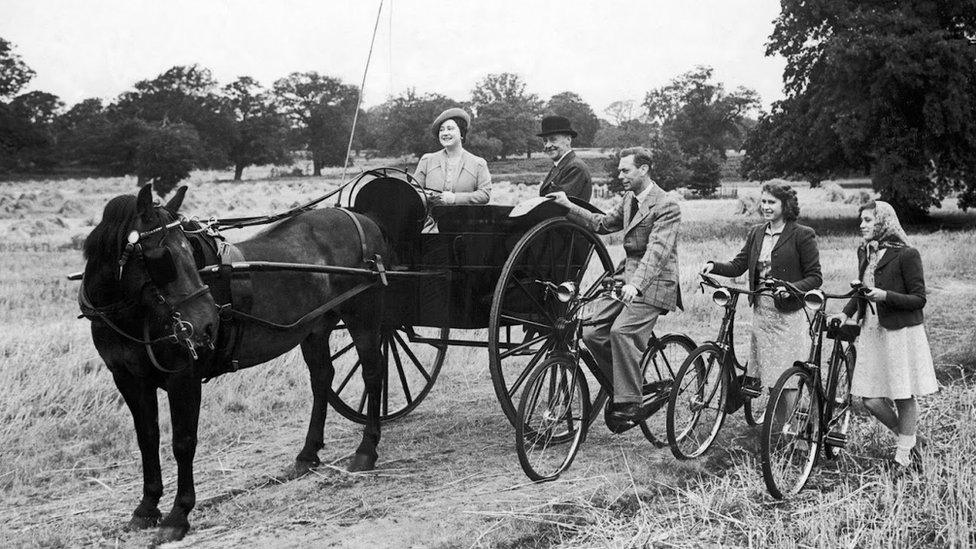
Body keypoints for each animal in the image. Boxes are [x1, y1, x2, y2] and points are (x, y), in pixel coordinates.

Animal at [80, 183, 386, 540]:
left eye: (188, 250)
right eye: (162, 258)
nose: (206, 324)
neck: (132, 315)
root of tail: (360, 218)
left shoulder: (183, 377)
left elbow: (183, 443)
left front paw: (178, 515)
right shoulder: (129, 379)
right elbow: (147, 439)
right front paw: (146, 507)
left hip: (362, 315)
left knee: (373, 373)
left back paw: (366, 450)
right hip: (315, 327)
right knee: (322, 377)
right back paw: (308, 455)